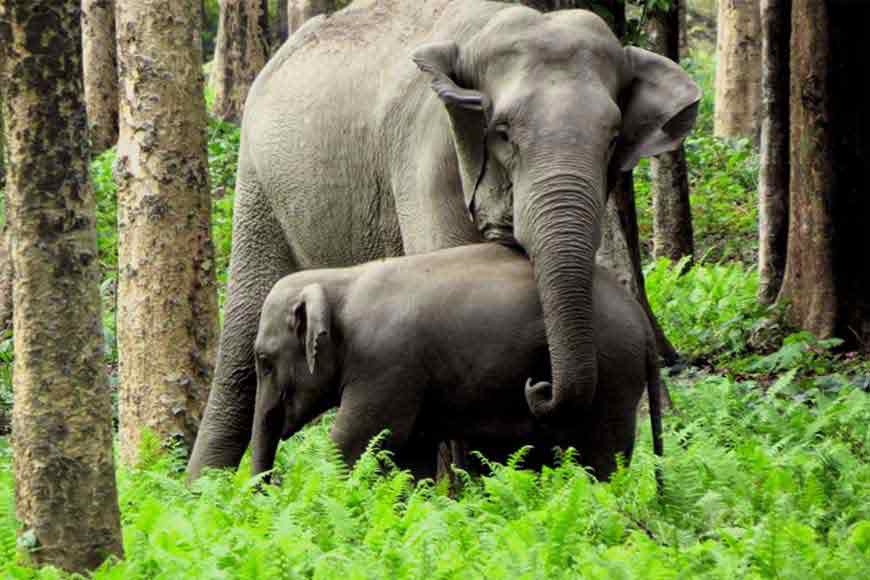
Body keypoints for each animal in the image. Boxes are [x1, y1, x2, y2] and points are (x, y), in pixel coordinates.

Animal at [250, 243, 663, 481]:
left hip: (613, 374)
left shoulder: (385, 365)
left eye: (264, 361)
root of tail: (642, 322)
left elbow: (355, 442)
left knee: (604, 459)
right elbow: (409, 454)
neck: (343, 279)